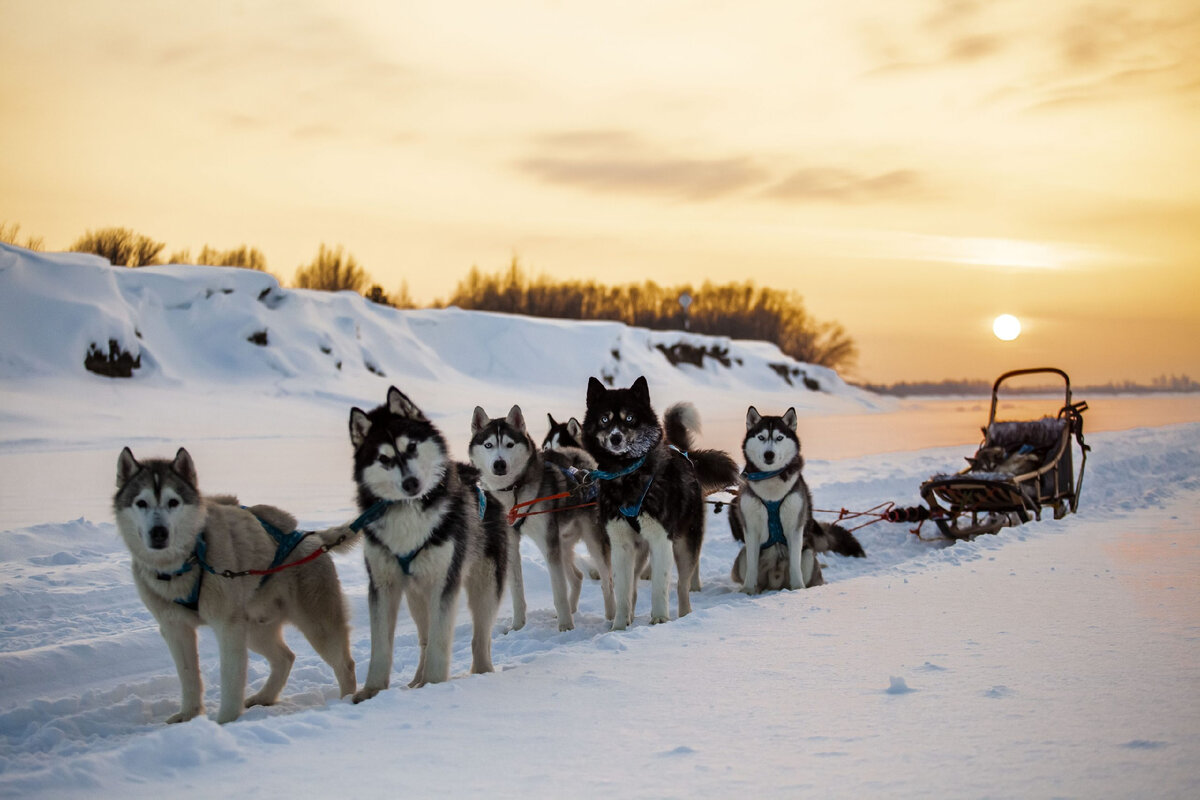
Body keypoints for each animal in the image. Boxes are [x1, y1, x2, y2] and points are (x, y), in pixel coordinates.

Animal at [112, 450, 355, 724]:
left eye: (173, 502)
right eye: (141, 503)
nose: (158, 532)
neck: (185, 563)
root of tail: (312, 536)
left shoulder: (228, 628)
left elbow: (231, 679)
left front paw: (224, 721)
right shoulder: (175, 628)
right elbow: (189, 676)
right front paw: (189, 715)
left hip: (316, 626)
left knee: (345, 665)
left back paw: (347, 701)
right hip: (254, 630)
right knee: (285, 658)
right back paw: (264, 697)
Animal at [350, 383, 511, 695]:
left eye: (411, 447)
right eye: (384, 459)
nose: (410, 483)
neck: (409, 510)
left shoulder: (444, 582)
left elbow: (440, 641)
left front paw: (435, 686)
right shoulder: (383, 585)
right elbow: (381, 648)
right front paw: (371, 691)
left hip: (485, 584)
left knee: (480, 637)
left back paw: (482, 672)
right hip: (416, 595)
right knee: (424, 640)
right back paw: (416, 681)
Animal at [470, 407, 614, 623]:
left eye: (509, 444)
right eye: (488, 445)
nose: (499, 464)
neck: (514, 491)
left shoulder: (548, 543)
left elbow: (559, 590)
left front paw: (566, 626)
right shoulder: (512, 543)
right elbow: (517, 590)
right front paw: (518, 625)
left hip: (592, 540)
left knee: (608, 580)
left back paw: (614, 618)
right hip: (562, 542)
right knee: (577, 577)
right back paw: (574, 610)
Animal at [583, 379, 739, 628]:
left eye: (630, 418)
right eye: (604, 419)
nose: (615, 438)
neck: (627, 475)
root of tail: (685, 456)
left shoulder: (661, 539)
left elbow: (659, 585)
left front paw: (659, 619)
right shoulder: (621, 545)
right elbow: (622, 590)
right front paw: (618, 625)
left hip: (685, 544)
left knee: (683, 586)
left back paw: (684, 616)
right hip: (638, 552)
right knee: (634, 587)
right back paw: (629, 616)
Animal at [724, 410, 868, 592]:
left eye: (779, 438)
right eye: (761, 437)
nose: (769, 454)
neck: (771, 482)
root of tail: (776, 583)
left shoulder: (795, 527)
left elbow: (794, 565)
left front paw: (798, 589)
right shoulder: (750, 528)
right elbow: (751, 564)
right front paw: (747, 590)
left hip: (807, 555)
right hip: (742, 558)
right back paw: (756, 589)